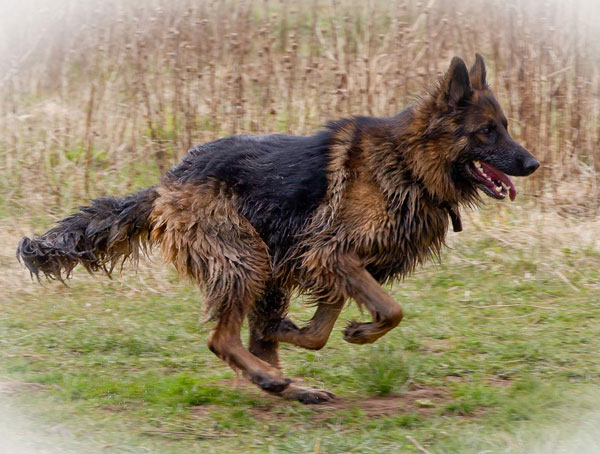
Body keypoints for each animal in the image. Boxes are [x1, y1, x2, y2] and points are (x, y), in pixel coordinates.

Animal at [17, 55, 540, 402]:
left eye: (506, 126)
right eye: (487, 131)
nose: (533, 163)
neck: (410, 164)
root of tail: (166, 184)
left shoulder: (334, 264)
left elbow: (319, 332)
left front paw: (310, 331)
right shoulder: (333, 255)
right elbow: (391, 311)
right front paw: (360, 332)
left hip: (268, 271)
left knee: (251, 340)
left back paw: (290, 386)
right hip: (245, 259)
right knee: (223, 340)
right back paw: (274, 381)